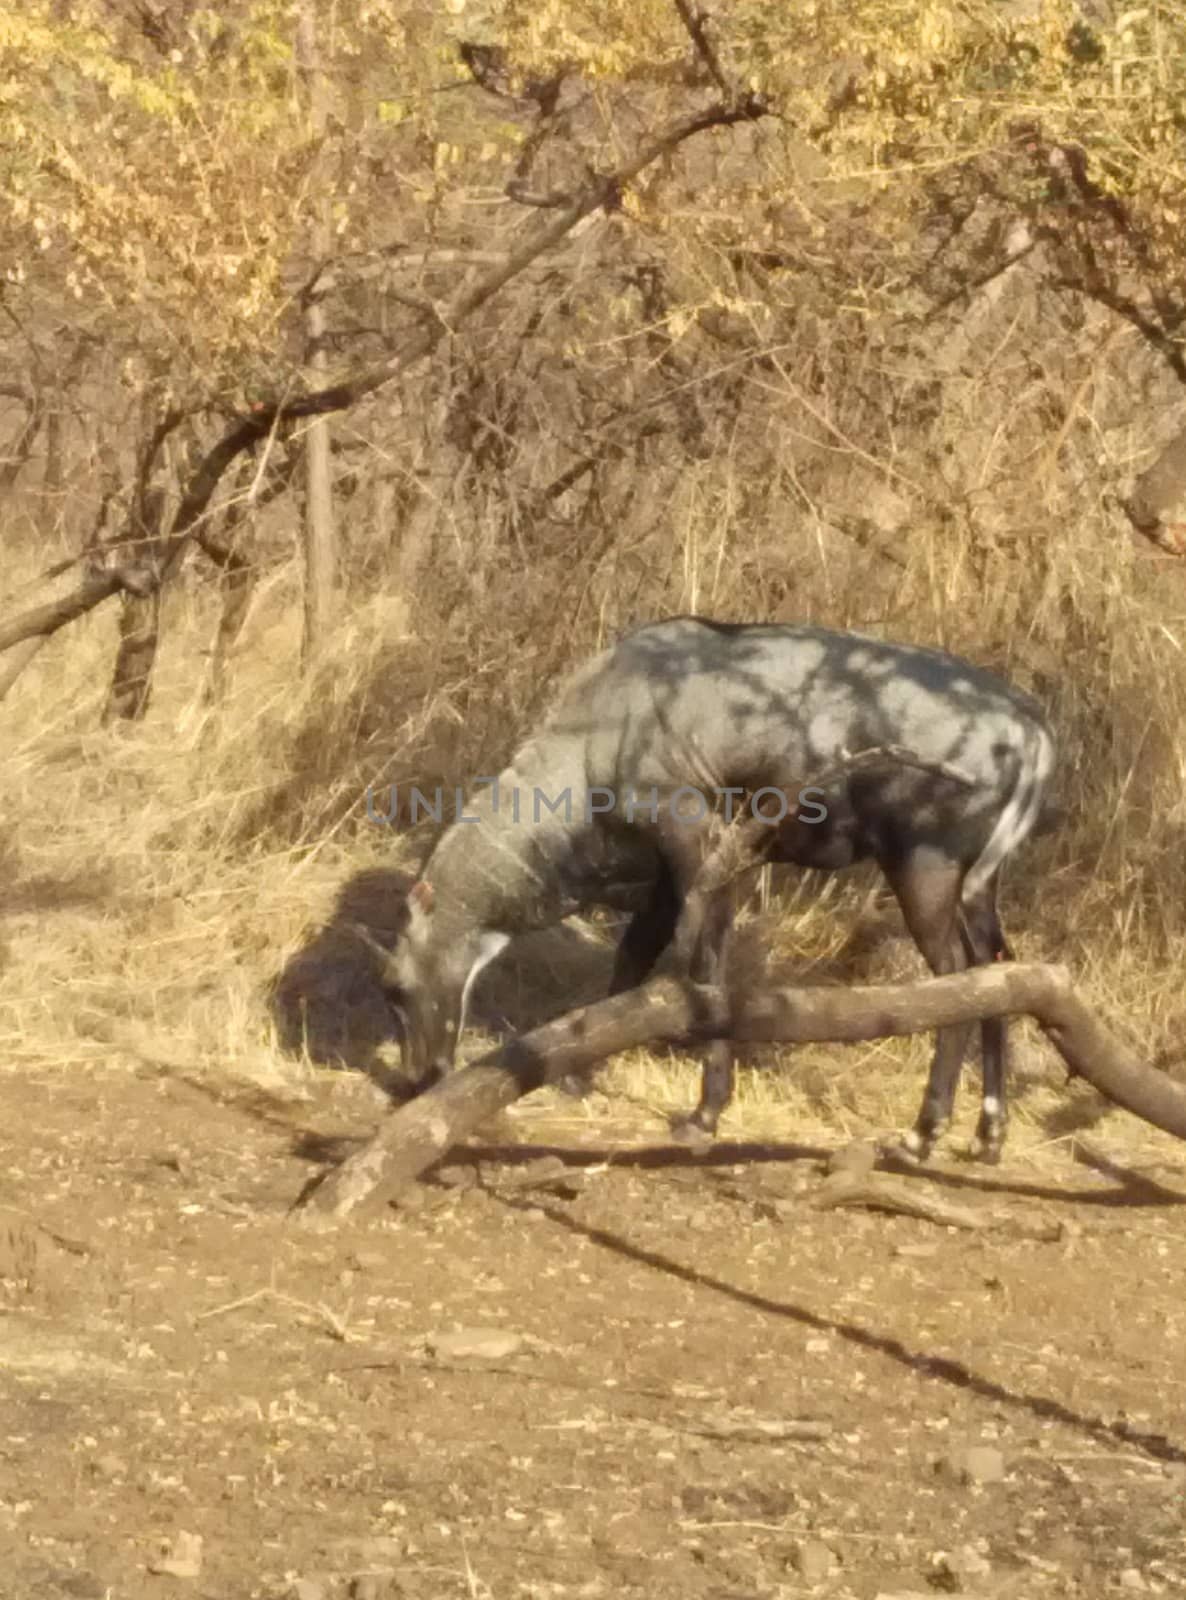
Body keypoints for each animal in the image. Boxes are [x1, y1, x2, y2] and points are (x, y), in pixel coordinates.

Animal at [363, 620, 1056, 1164]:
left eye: (394, 987)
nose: (413, 1081)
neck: (590, 747)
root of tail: (1034, 734)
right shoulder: (665, 877)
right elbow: (633, 959)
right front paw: (580, 1072)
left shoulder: (703, 845)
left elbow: (704, 968)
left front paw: (703, 1115)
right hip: (977, 888)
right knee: (1001, 968)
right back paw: (989, 1133)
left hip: (922, 868)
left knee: (958, 977)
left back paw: (923, 1132)